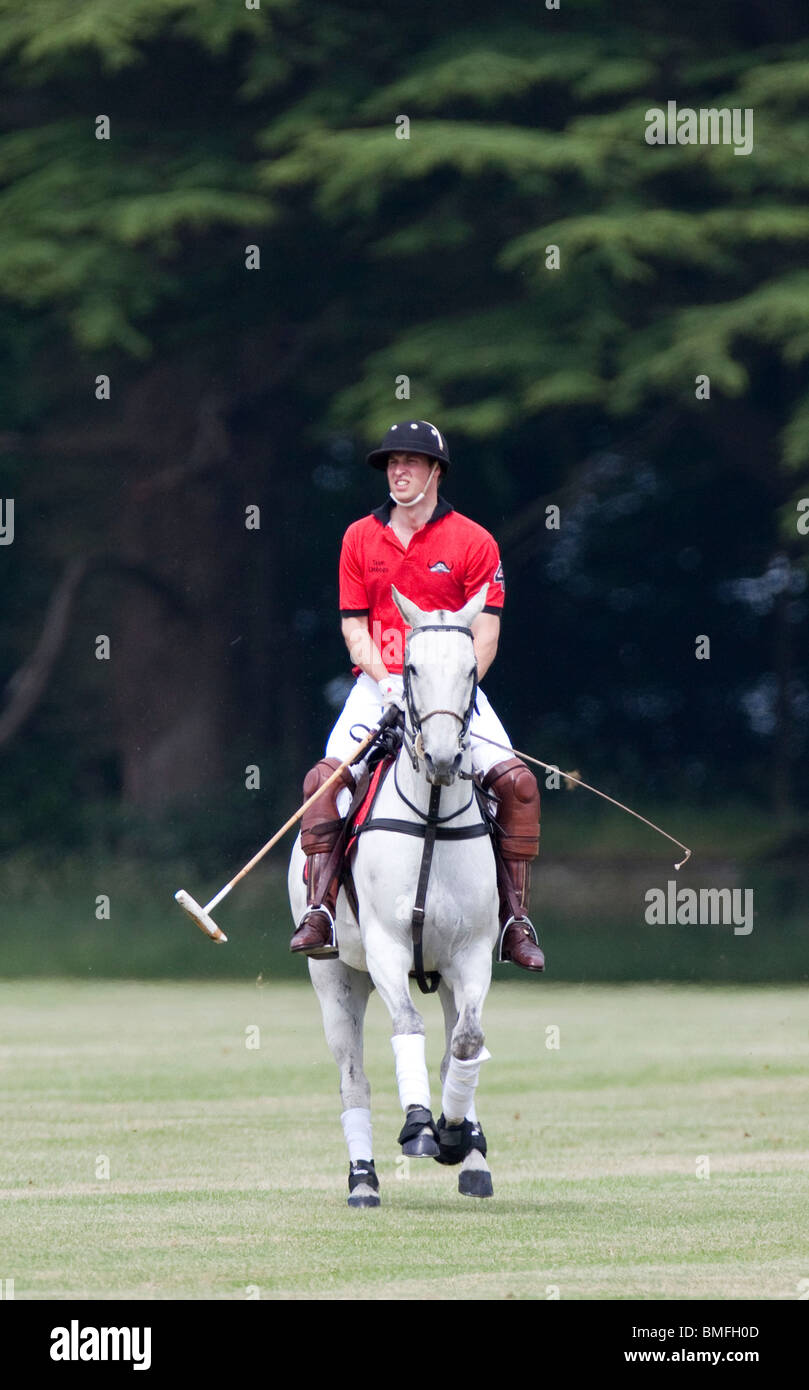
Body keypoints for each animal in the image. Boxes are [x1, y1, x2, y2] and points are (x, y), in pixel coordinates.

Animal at [284, 586, 500, 1206]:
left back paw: (471, 1151)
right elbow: (407, 1027)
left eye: (471, 669)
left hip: (446, 975)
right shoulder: (385, 947)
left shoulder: (471, 954)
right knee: (352, 1077)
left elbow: (467, 1041)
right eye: (410, 667)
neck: (430, 816)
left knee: (455, 1044)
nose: (444, 758)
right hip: (334, 974)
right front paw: (420, 1127)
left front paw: (454, 1135)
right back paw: (363, 1179)